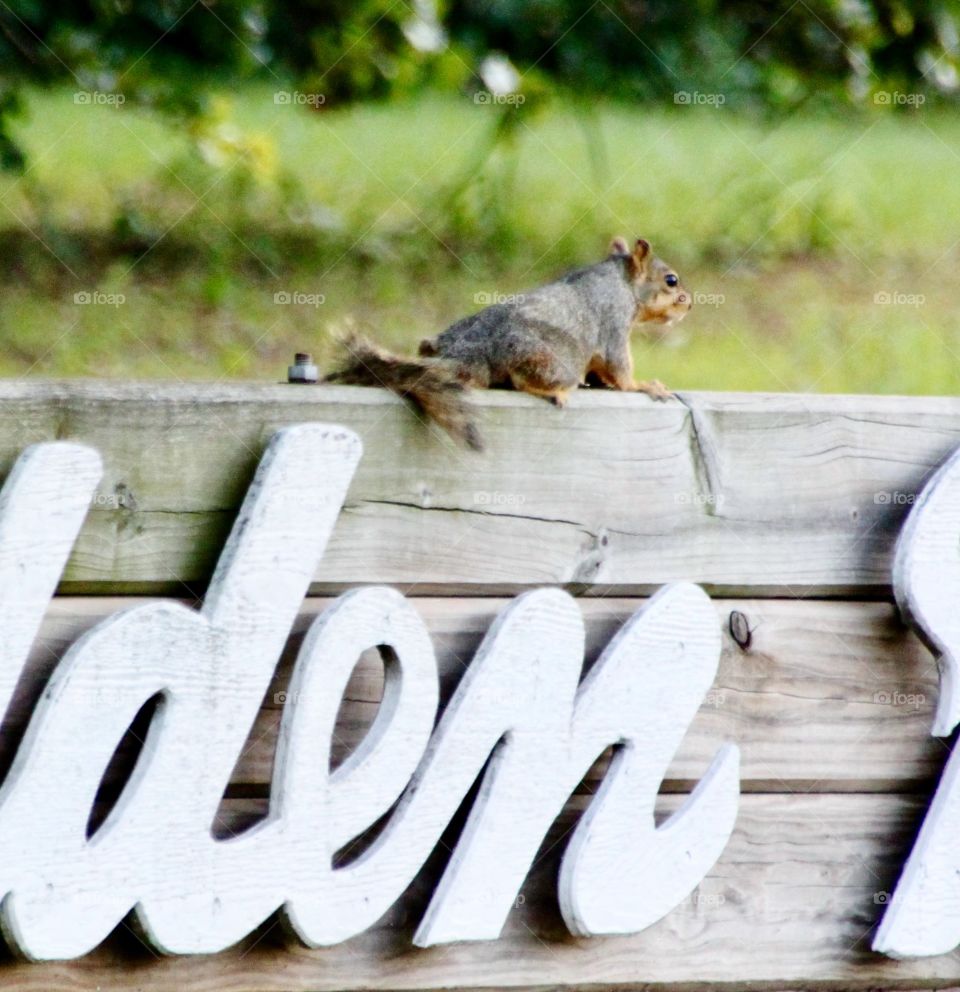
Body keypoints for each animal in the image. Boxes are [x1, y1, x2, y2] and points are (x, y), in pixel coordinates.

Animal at [326, 236, 692, 450]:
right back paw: (552, 391)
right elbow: (619, 367)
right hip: (551, 359)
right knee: (520, 379)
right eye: (671, 280)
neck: (621, 280)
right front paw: (644, 386)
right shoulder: (614, 322)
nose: (689, 304)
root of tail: (464, 357)